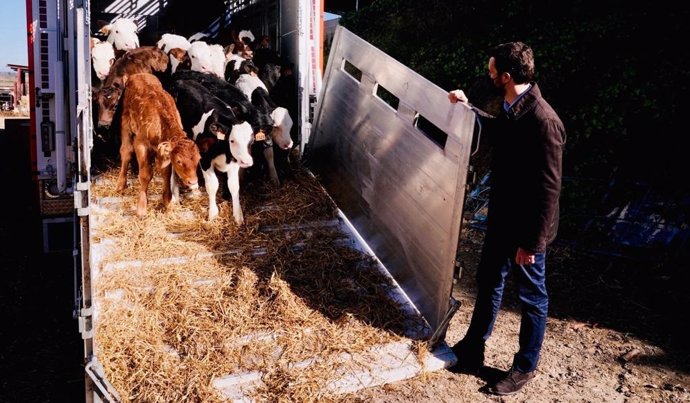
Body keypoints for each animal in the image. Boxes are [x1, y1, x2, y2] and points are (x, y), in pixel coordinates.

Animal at [115, 72, 199, 218]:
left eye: (198, 159)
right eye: (179, 161)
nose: (193, 182)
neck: (160, 121)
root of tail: (137, 75)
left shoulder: (163, 152)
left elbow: (166, 173)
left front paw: (167, 201)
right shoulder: (140, 144)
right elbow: (145, 174)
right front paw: (142, 208)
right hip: (125, 122)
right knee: (126, 152)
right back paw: (121, 184)